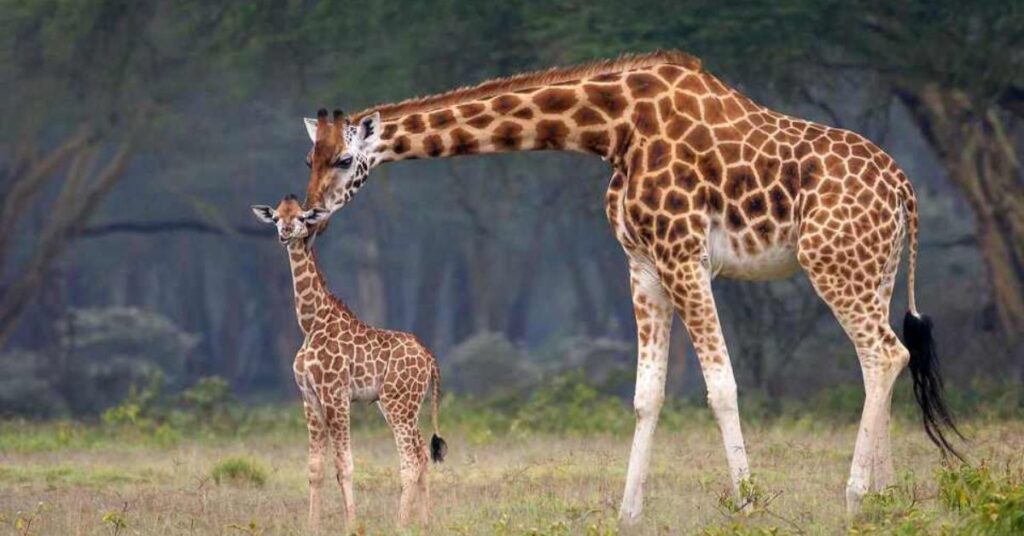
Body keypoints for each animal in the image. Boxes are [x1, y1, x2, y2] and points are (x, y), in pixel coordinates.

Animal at [251, 195, 448, 529]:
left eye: (301, 217)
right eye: (276, 218)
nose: (285, 233)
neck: (311, 322)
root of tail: (430, 358)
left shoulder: (335, 395)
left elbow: (345, 464)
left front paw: (351, 525)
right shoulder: (309, 397)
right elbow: (315, 468)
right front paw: (312, 526)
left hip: (398, 404)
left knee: (410, 458)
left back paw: (399, 524)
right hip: (403, 404)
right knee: (422, 452)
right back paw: (424, 522)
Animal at [298, 50, 961, 520]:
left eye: (342, 161)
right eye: (309, 161)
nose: (308, 214)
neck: (613, 128)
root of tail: (905, 188)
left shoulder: (683, 254)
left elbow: (721, 386)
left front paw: (748, 504)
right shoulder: (642, 265)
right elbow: (648, 395)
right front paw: (627, 512)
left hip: (834, 264)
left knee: (884, 353)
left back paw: (856, 496)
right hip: (870, 269)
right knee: (883, 359)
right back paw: (885, 496)